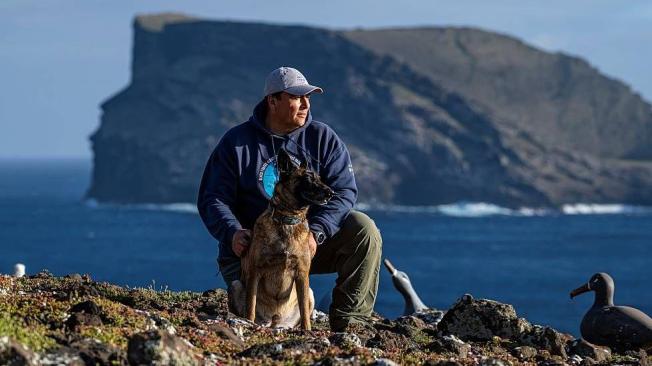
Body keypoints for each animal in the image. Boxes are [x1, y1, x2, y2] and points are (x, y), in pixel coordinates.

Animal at [228, 149, 332, 328]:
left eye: (320, 179)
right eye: (307, 179)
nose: (332, 192)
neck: (288, 220)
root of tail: (275, 321)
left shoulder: (302, 274)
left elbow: (305, 313)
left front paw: (307, 330)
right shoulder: (255, 271)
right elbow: (251, 305)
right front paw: (249, 322)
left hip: (310, 293)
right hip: (235, 285)